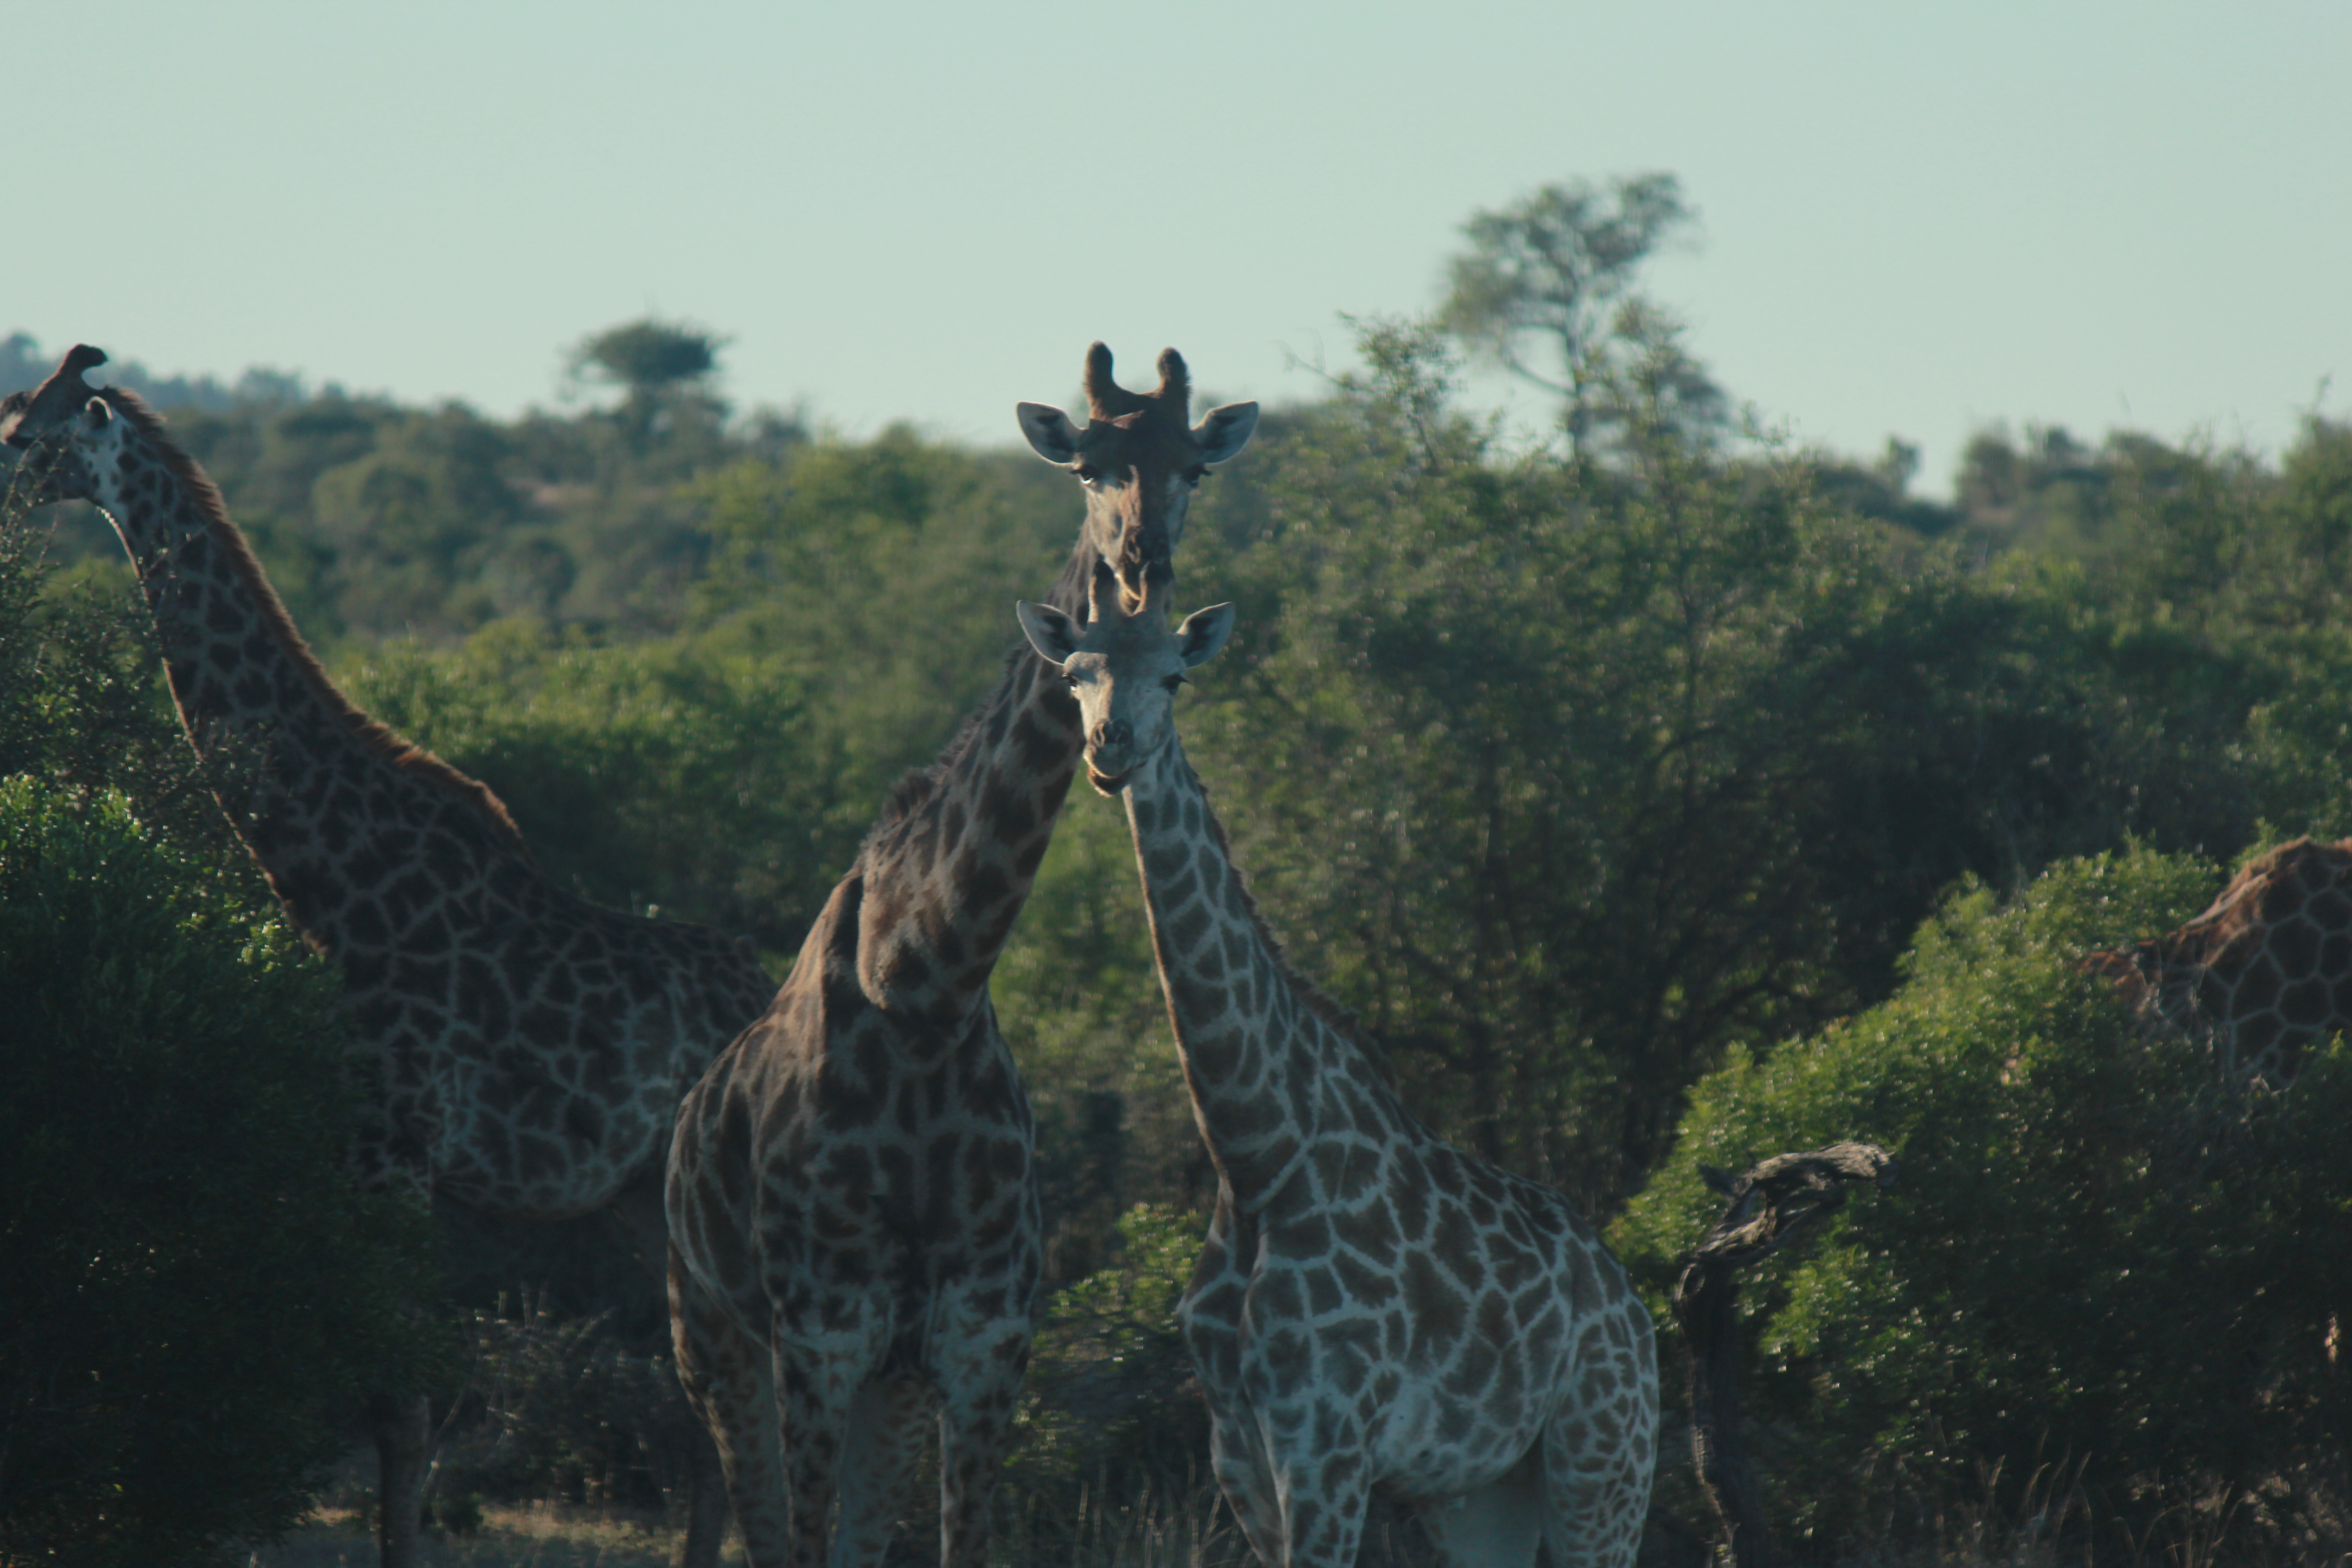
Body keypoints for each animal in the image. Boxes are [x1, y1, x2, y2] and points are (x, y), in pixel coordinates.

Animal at [0, 345, 773, 1568]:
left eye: (28, 439)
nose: (0, 505)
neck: (329, 881)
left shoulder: (396, 1154)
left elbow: (402, 1404)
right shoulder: (349, 1153)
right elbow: (362, 1387)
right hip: (643, 1193)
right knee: (714, 1385)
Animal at [662, 343, 1258, 1568]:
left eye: (1194, 467)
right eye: (1086, 464)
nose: (1141, 568)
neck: (925, 989)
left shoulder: (981, 1341)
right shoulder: (822, 1333)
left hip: (882, 1383)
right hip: (712, 1337)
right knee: (756, 1519)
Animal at [1015, 576, 1661, 1568]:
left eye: (1173, 677)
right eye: (1076, 675)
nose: (1109, 748)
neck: (1254, 1154)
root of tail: (1638, 1313)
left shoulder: (1326, 1440)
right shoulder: (1239, 1452)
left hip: (1602, 1464)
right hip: (1485, 1494)